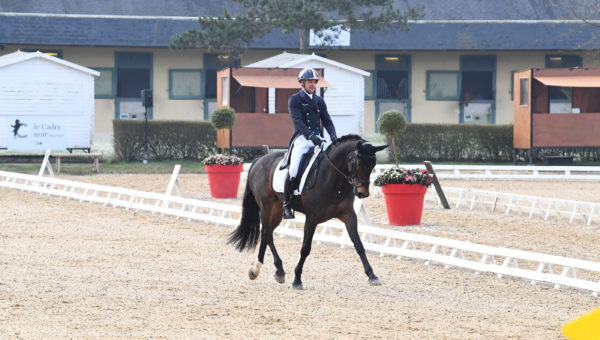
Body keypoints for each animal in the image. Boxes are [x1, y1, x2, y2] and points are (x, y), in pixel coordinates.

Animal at [227, 134, 386, 288]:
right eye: (357, 163)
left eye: (373, 164)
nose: (362, 193)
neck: (333, 180)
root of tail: (259, 160)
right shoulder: (311, 218)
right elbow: (305, 249)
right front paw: (297, 279)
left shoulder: (349, 215)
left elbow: (359, 245)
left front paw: (372, 275)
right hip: (266, 206)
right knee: (266, 232)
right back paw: (270, 269)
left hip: (277, 210)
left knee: (267, 232)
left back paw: (265, 270)